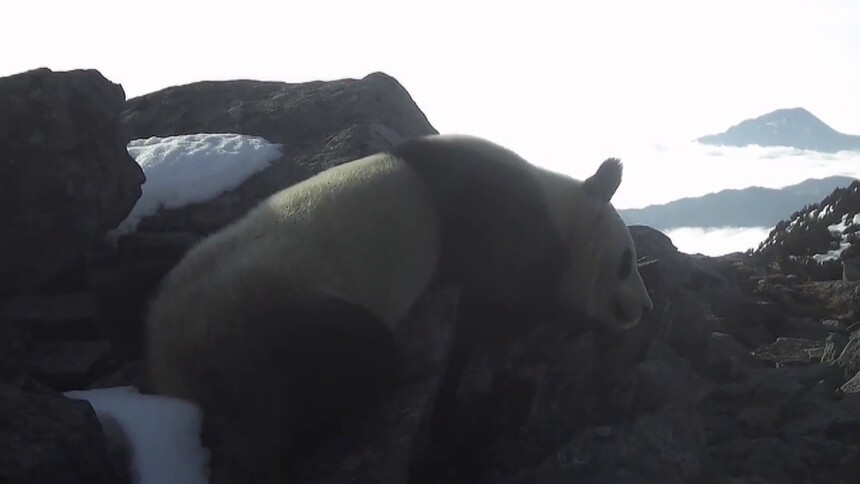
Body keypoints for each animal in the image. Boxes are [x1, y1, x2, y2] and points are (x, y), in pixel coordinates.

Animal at [145, 134, 653, 478]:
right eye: (626, 262)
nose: (645, 308)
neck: (560, 204)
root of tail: (170, 361)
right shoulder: (498, 221)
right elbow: (500, 309)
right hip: (268, 315)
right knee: (349, 360)